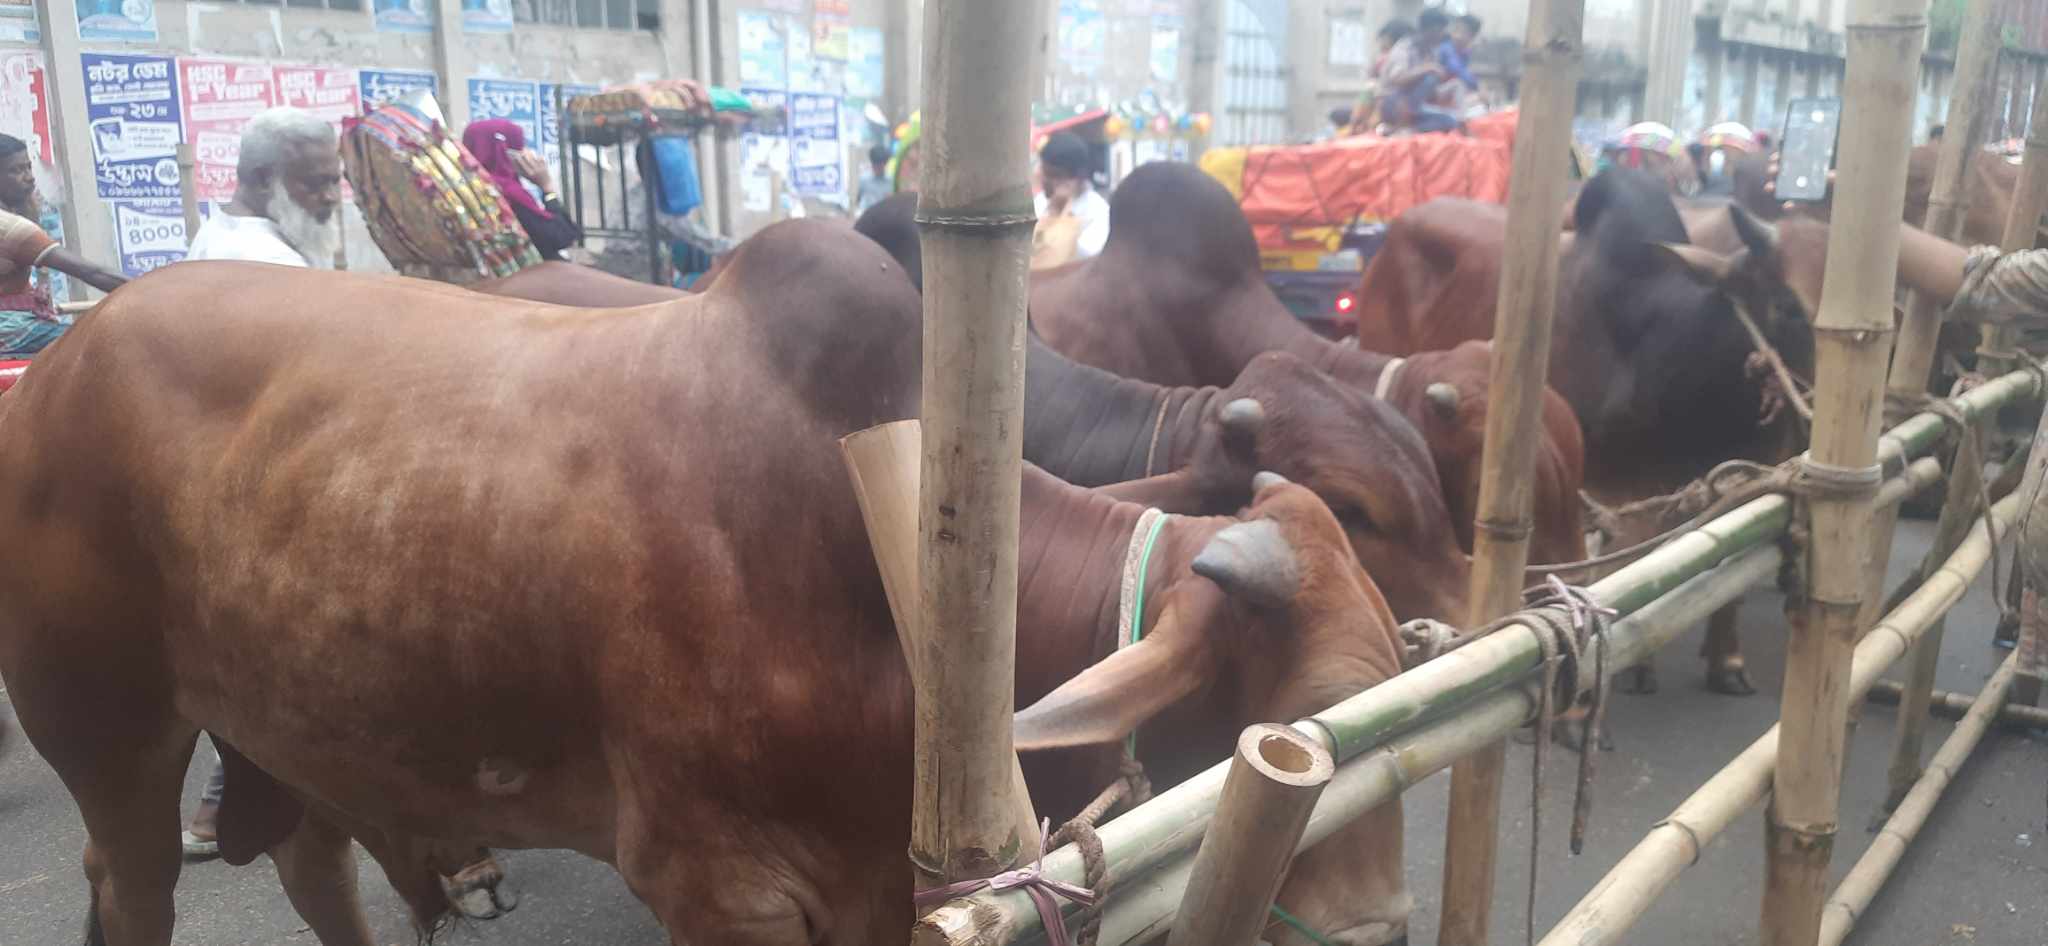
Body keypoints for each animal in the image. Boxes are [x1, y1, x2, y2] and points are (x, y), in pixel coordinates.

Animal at [0, 221, 1412, 946]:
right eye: (1289, 723)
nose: (1379, 930)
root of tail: (68, 354)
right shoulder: (716, 889)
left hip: (292, 720)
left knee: (311, 862)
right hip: (111, 733)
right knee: (133, 881)